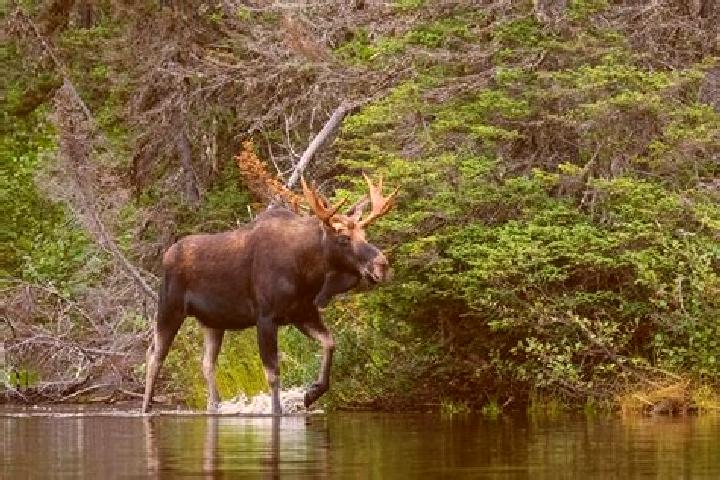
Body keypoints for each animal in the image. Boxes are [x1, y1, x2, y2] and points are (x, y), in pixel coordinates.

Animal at [142, 174, 398, 414]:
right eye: (343, 238)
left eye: (365, 235)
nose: (382, 265)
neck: (308, 272)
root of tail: (166, 255)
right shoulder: (265, 317)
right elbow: (273, 373)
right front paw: (278, 410)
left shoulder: (303, 313)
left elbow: (330, 342)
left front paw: (311, 393)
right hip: (169, 307)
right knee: (155, 355)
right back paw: (146, 407)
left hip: (213, 322)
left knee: (206, 363)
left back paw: (214, 405)